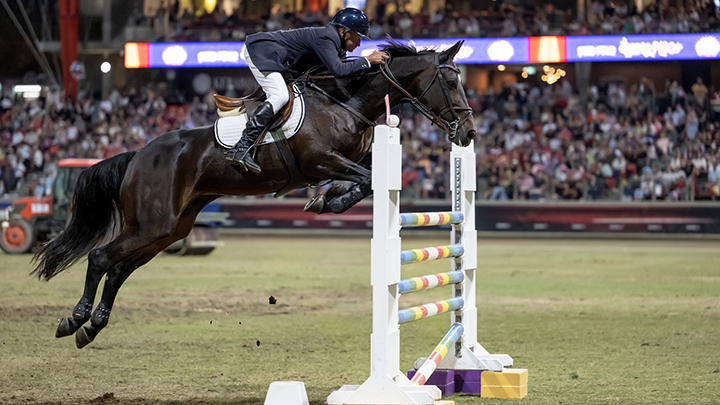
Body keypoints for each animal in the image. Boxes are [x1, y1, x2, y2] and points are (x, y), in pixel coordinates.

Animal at [32, 40, 476, 349]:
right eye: (450, 81)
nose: (469, 134)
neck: (347, 101)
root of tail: (137, 154)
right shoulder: (321, 160)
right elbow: (365, 180)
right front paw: (328, 201)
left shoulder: (341, 161)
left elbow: (362, 179)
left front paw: (325, 200)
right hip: (151, 224)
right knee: (100, 257)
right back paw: (75, 319)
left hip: (169, 229)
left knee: (119, 269)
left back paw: (91, 328)